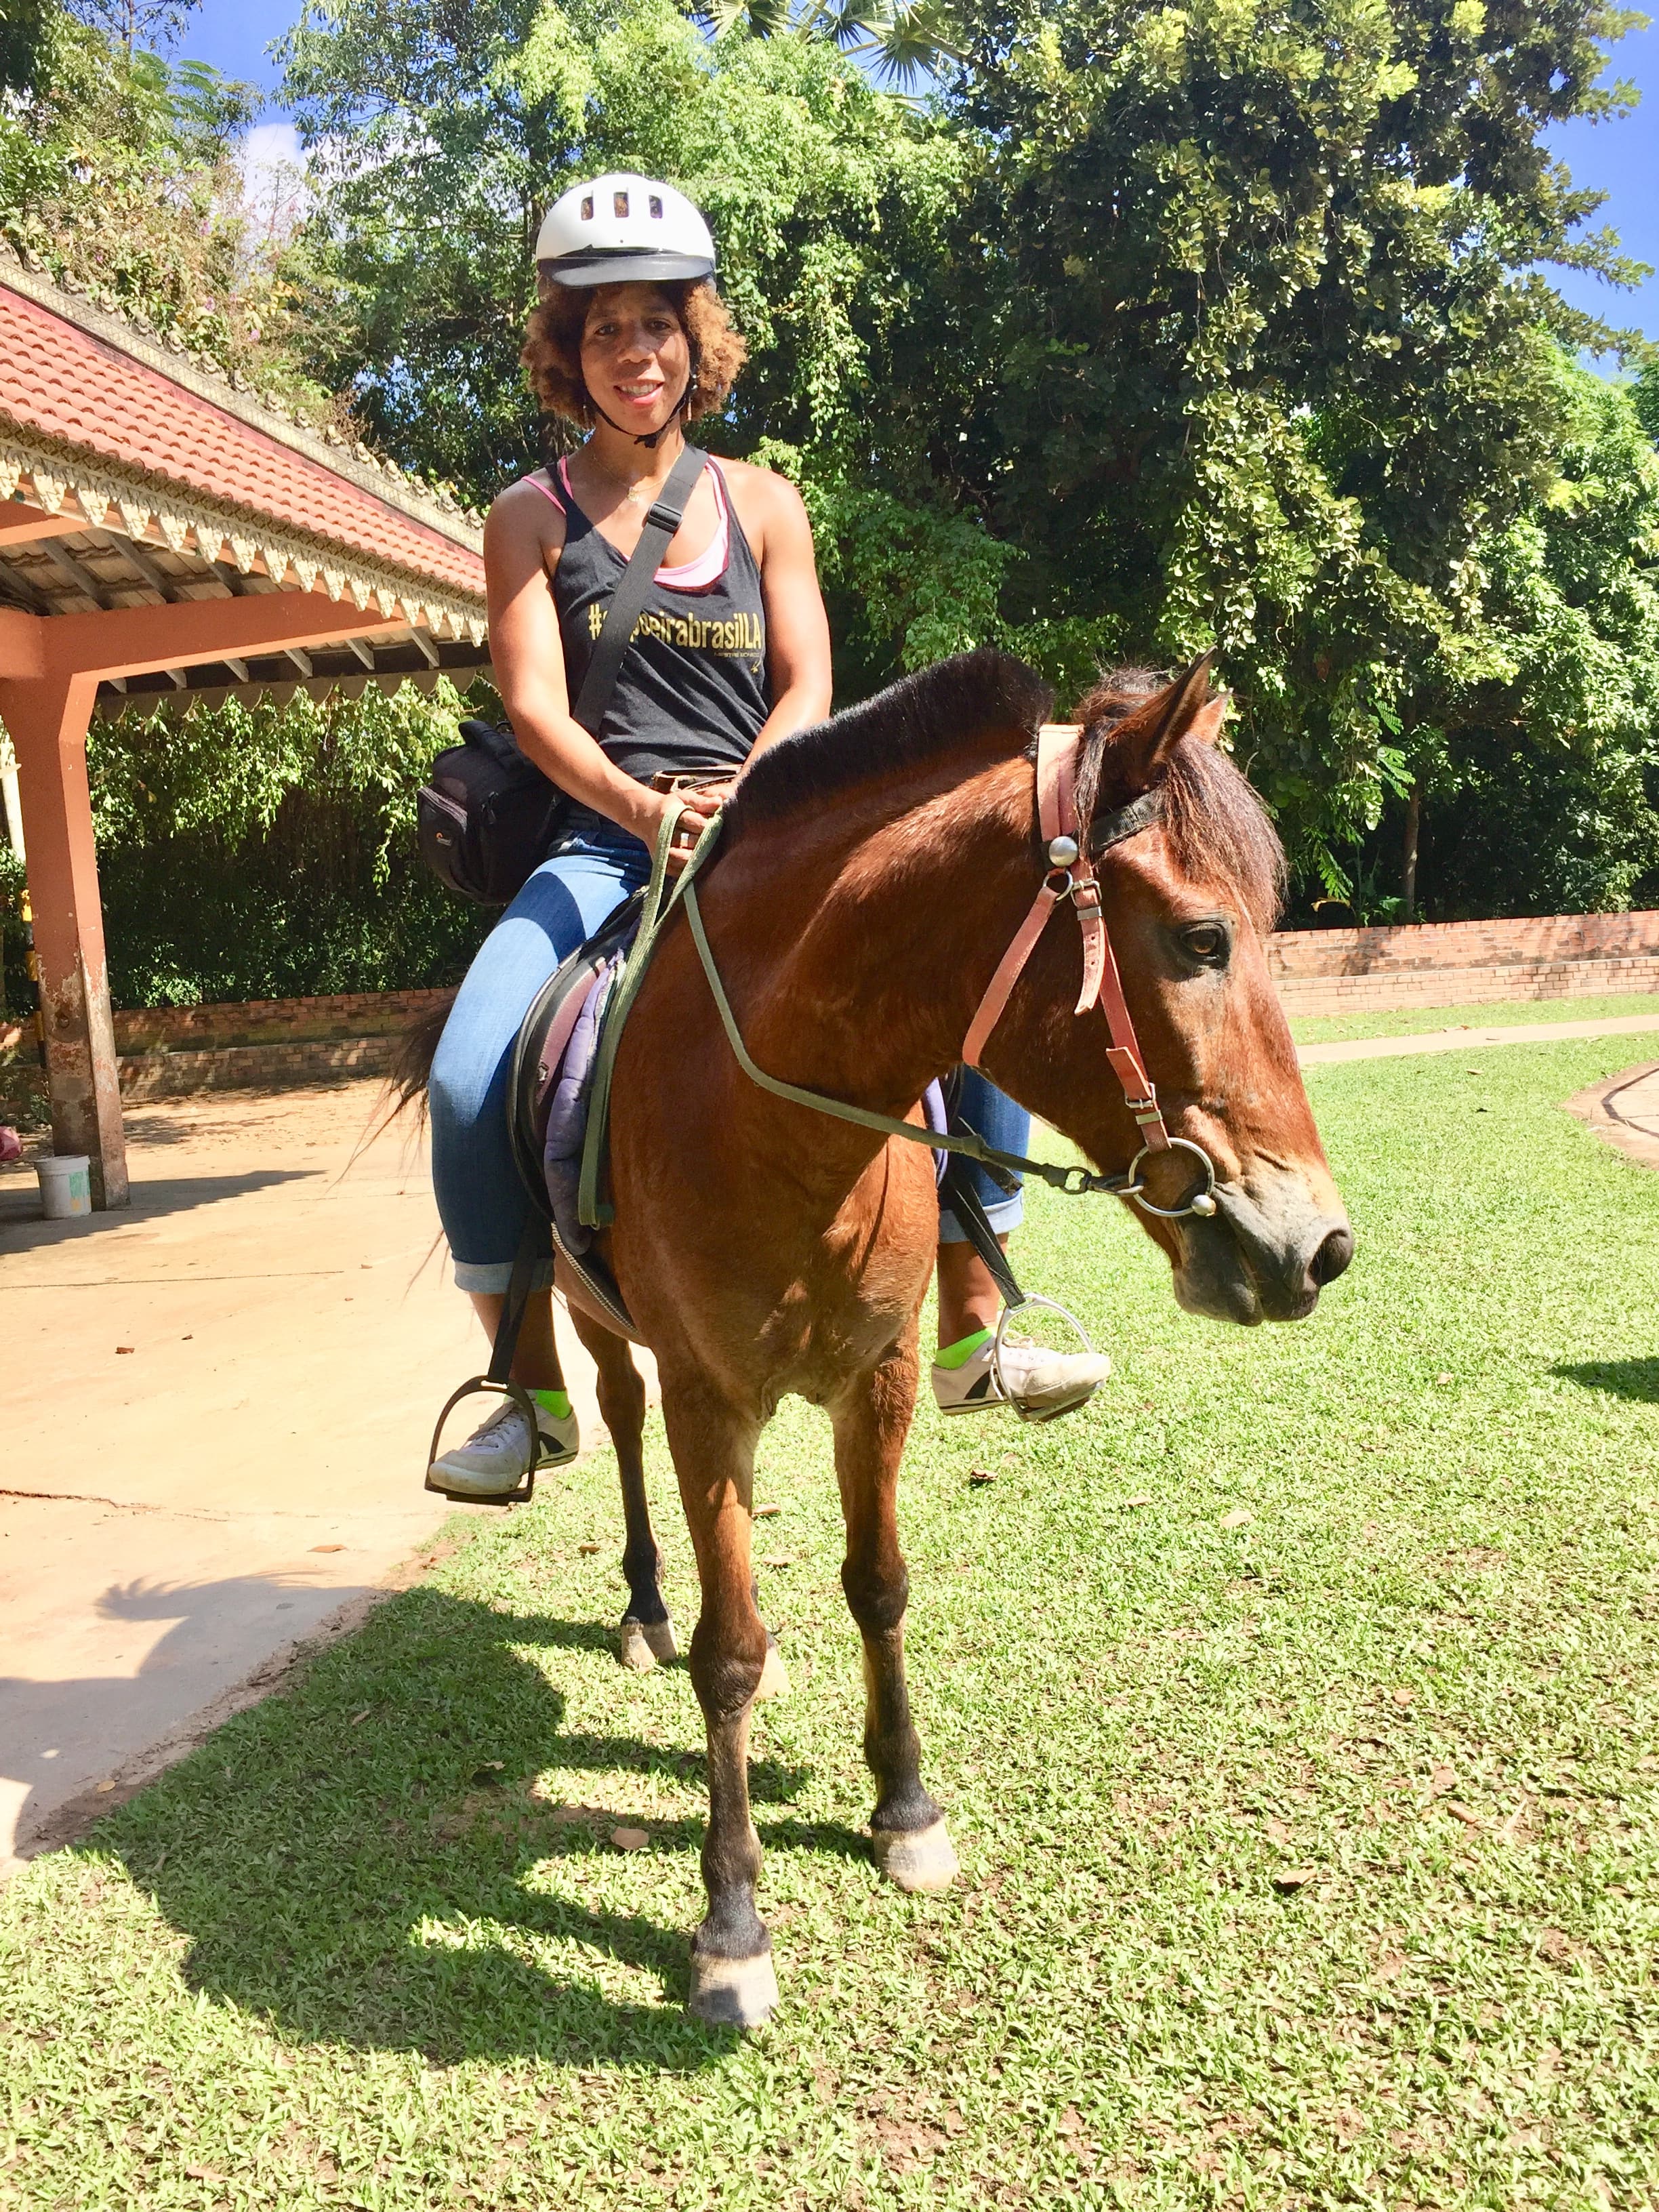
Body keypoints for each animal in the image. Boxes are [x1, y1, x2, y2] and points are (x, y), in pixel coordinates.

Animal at [464, 646, 1353, 2026]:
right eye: (1202, 938)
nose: (1318, 1247)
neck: (780, 1120)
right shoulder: (711, 1397)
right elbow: (727, 1652)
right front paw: (731, 1925)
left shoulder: (871, 1378)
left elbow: (876, 1585)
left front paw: (905, 1808)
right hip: (598, 1324)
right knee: (617, 1425)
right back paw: (638, 1595)